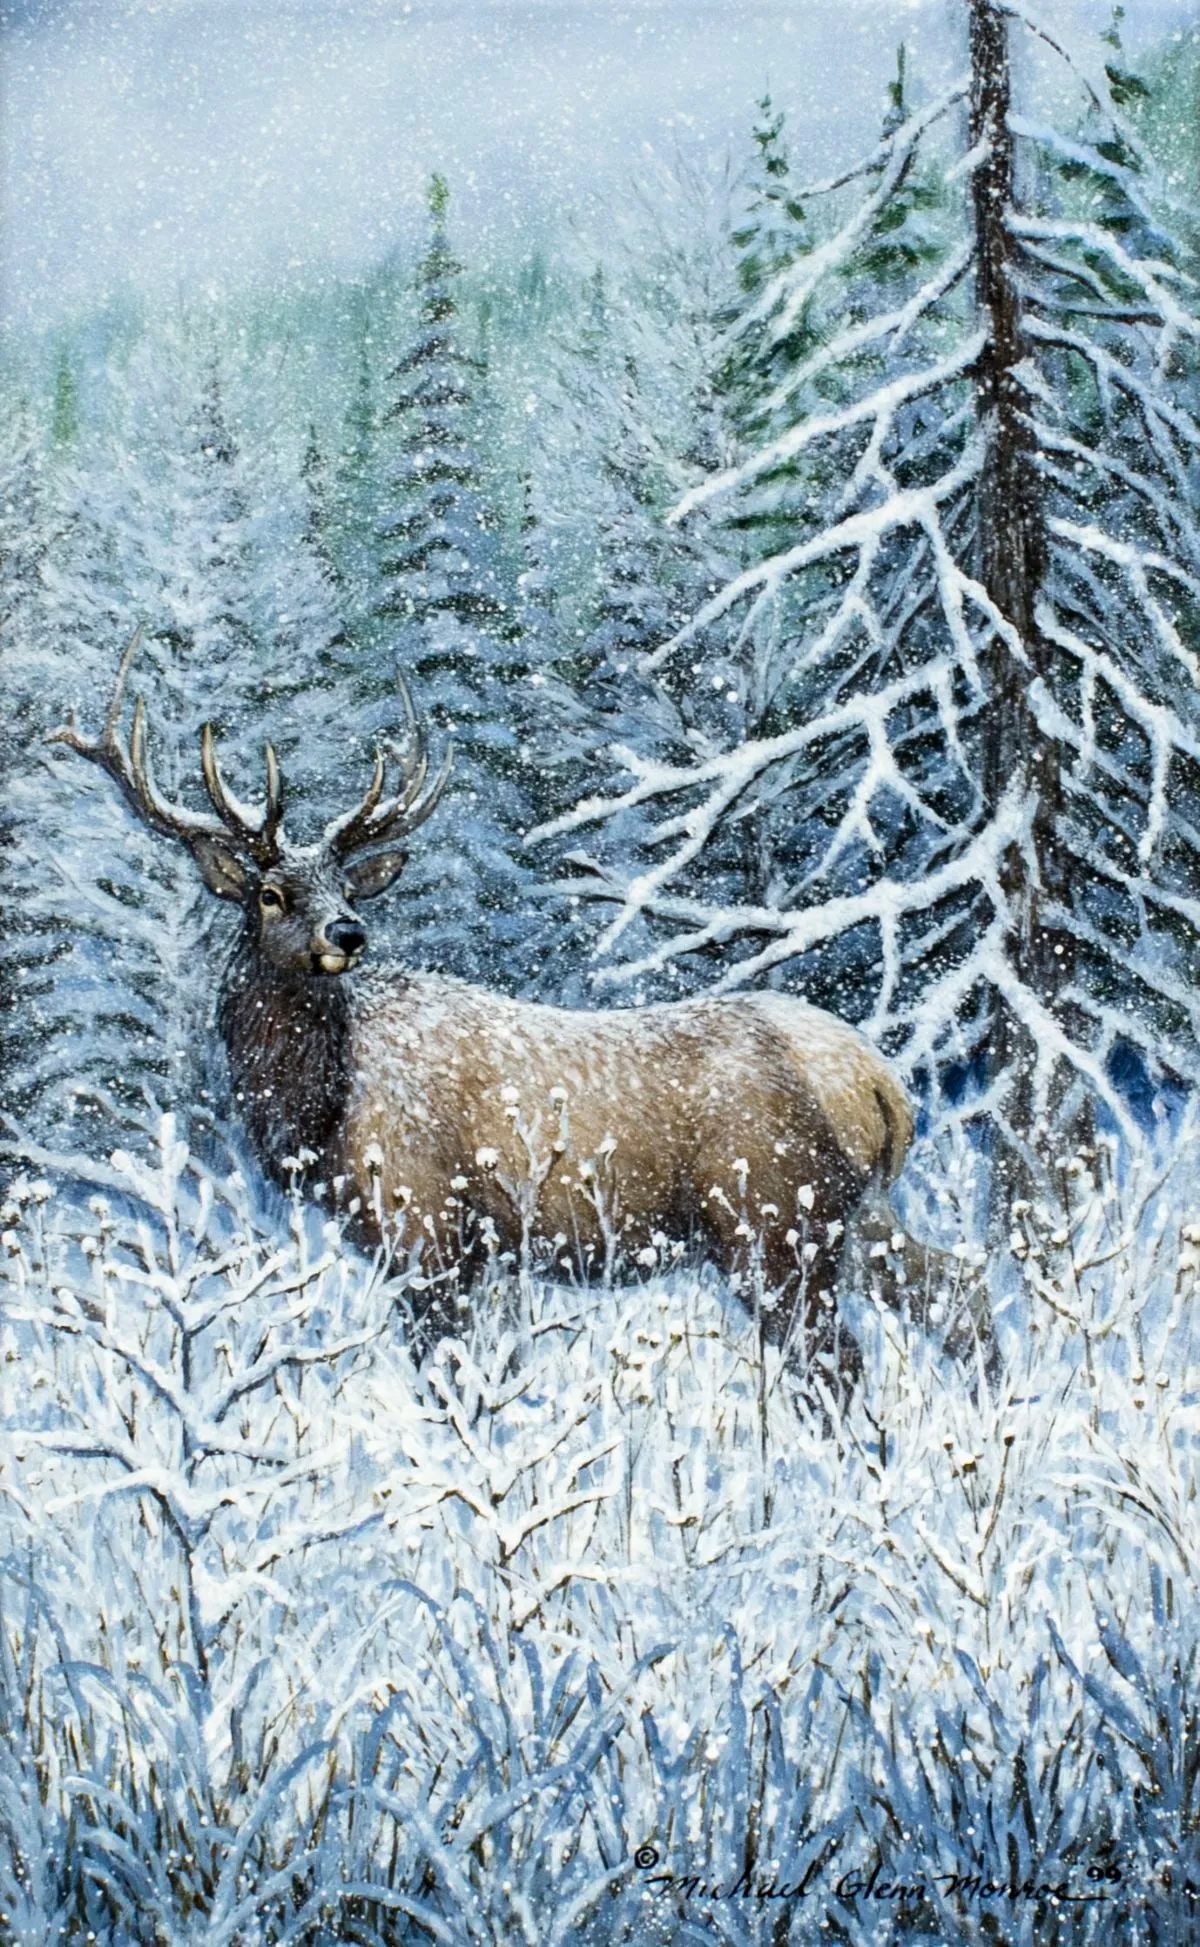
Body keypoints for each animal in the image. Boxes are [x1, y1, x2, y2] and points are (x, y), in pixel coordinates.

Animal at [52, 634, 990, 1402]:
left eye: (347, 886)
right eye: (273, 892)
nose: (348, 932)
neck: (321, 1112)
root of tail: (882, 1086)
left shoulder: (424, 1225)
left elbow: (449, 1381)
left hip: (772, 1221)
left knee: (838, 1360)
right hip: (855, 1218)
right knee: (961, 1291)